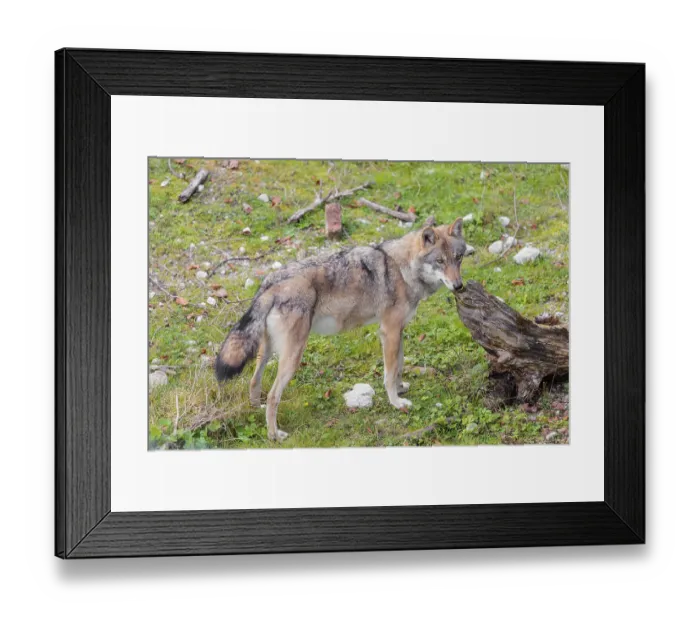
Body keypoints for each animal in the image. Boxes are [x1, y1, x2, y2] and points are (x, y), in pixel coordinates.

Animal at [215, 218, 472, 441]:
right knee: (272, 395)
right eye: (440, 261)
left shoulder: (397, 332)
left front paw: (401, 390)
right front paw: (396, 403)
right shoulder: (388, 331)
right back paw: (274, 435)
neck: (403, 269)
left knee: (254, 381)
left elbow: (398, 367)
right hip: (292, 358)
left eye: (458, 258)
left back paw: (255, 409)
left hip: (267, 352)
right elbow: (389, 374)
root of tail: (270, 282)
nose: (459, 286)